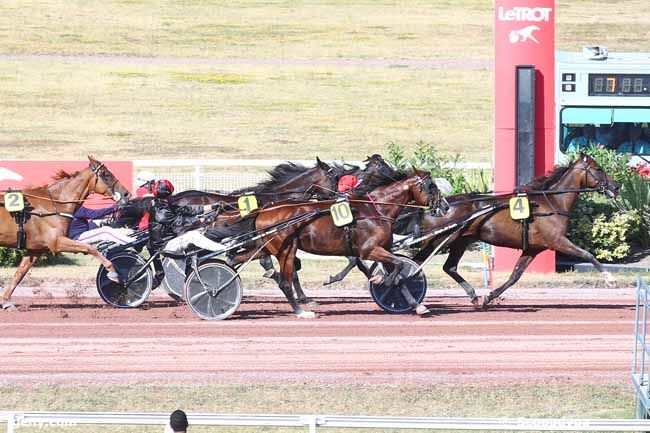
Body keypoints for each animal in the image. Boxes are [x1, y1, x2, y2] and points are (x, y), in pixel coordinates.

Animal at [0, 154, 130, 308]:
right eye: (106, 174)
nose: (126, 194)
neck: (54, 204)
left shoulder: (35, 249)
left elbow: (20, 273)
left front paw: (6, 301)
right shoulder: (57, 242)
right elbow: (90, 248)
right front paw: (113, 272)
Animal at [229, 169, 440, 318]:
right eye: (432, 186)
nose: (443, 206)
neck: (376, 210)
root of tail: (264, 210)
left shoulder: (382, 249)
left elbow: (399, 275)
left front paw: (417, 305)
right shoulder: (369, 250)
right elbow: (398, 265)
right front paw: (381, 280)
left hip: (267, 247)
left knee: (238, 258)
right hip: (286, 250)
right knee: (285, 282)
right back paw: (301, 311)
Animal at [412, 152, 620, 308]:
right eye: (599, 169)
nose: (616, 187)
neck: (552, 202)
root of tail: (437, 207)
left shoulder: (533, 248)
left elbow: (515, 276)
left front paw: (490, 296)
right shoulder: (557, 241)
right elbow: (587, 255)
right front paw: (610, 278)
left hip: (460, 240)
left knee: (449, 267)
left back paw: (473, 296)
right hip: (441, 240)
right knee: (416, 263)